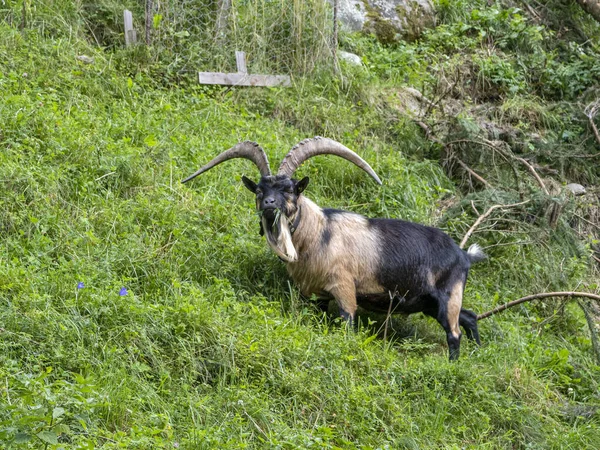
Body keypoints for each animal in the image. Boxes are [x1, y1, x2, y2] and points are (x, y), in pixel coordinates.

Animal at [184, 137, 488, 358]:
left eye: (290, 190)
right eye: (259, 190)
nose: (269, 204)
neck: (319, 234)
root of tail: (463, 255)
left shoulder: (344, 289)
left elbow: (347, 324)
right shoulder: (315, 294)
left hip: (448, 297)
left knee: (454, 334)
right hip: (432, 301)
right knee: (470, 317)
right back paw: (478, 354)